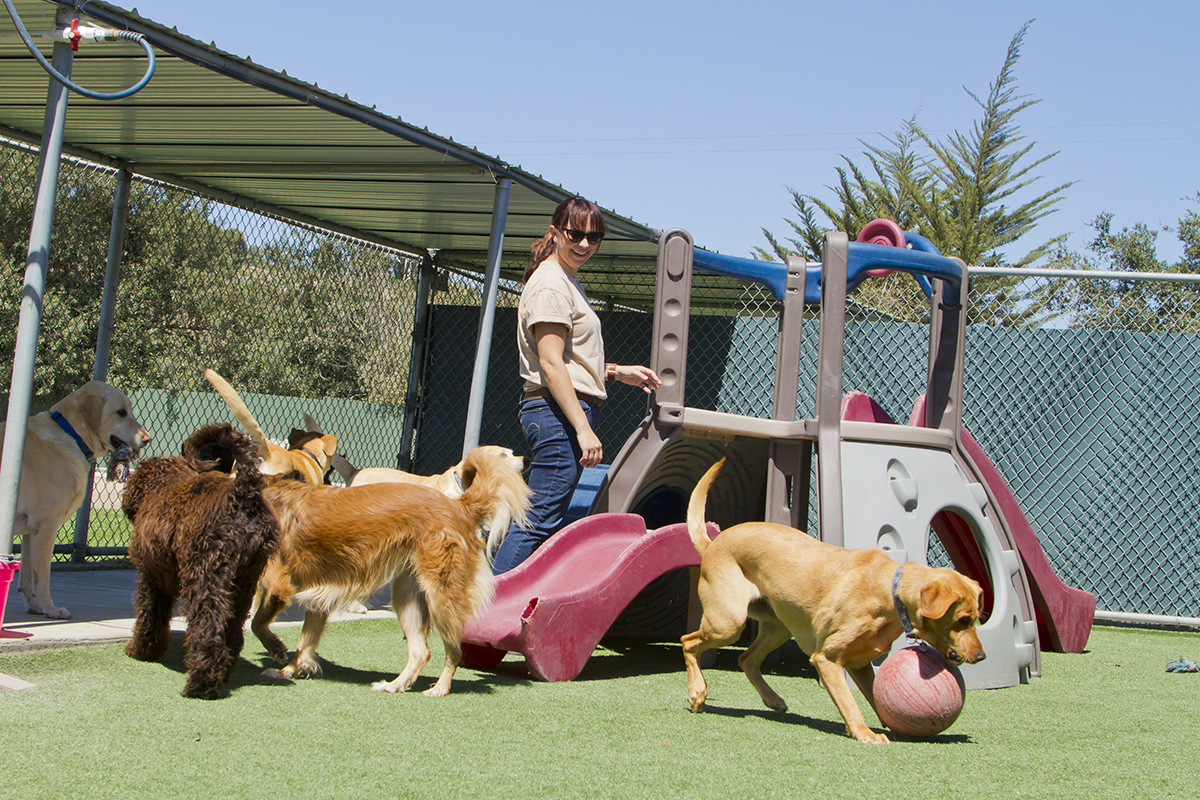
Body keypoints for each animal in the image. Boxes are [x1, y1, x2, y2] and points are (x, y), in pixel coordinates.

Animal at [0, 381, 151, 618]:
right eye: (121, 412)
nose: (147, 439)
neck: (71, 434)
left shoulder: (30, 531)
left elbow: (26, 576)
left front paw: (34, 606)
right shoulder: (46, 526)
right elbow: (42, 577)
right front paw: (51, 609)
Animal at [122, 422, 280, 695]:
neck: (162, 485)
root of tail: (243, 494)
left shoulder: (151, 577)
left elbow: (149, 615)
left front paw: (142, 650)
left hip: (205, 576)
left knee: (209, 628)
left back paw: (201, 683)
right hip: (244, 581)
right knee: (232, 629)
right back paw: (223, 672)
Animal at [686, 460, 984, 748]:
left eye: (976, 619)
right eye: (963, 620)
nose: (981, 656)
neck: (889, 591)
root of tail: (712, 544)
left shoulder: (860, 663)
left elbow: (875, 698)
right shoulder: (827, 659)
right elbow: (849, 703)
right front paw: (865, 733)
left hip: (778, 627)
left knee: (746, 659)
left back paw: (772, 699)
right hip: (729, 623)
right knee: (689, 642)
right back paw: (697, 692)